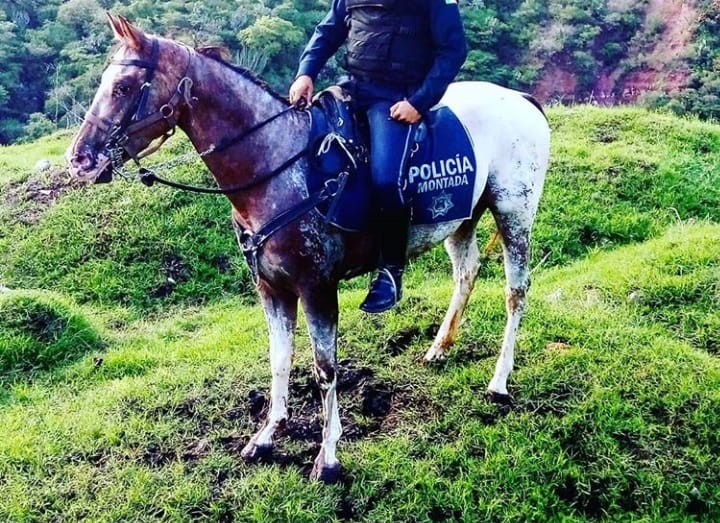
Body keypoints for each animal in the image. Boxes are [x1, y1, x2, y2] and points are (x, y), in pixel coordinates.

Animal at [67, 14, 550, 483]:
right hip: (459, 217)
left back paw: (499, 380)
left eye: (123, 88)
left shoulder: (317, 288)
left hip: (514, 211)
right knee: (466, 273)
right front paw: (267, 435)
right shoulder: (271, 287)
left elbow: (324, 369)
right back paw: (440, 347)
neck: (276, 168)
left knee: (515, 293)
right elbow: (280, 359)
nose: (80, 159)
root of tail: (523, 99)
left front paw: (328, 457)